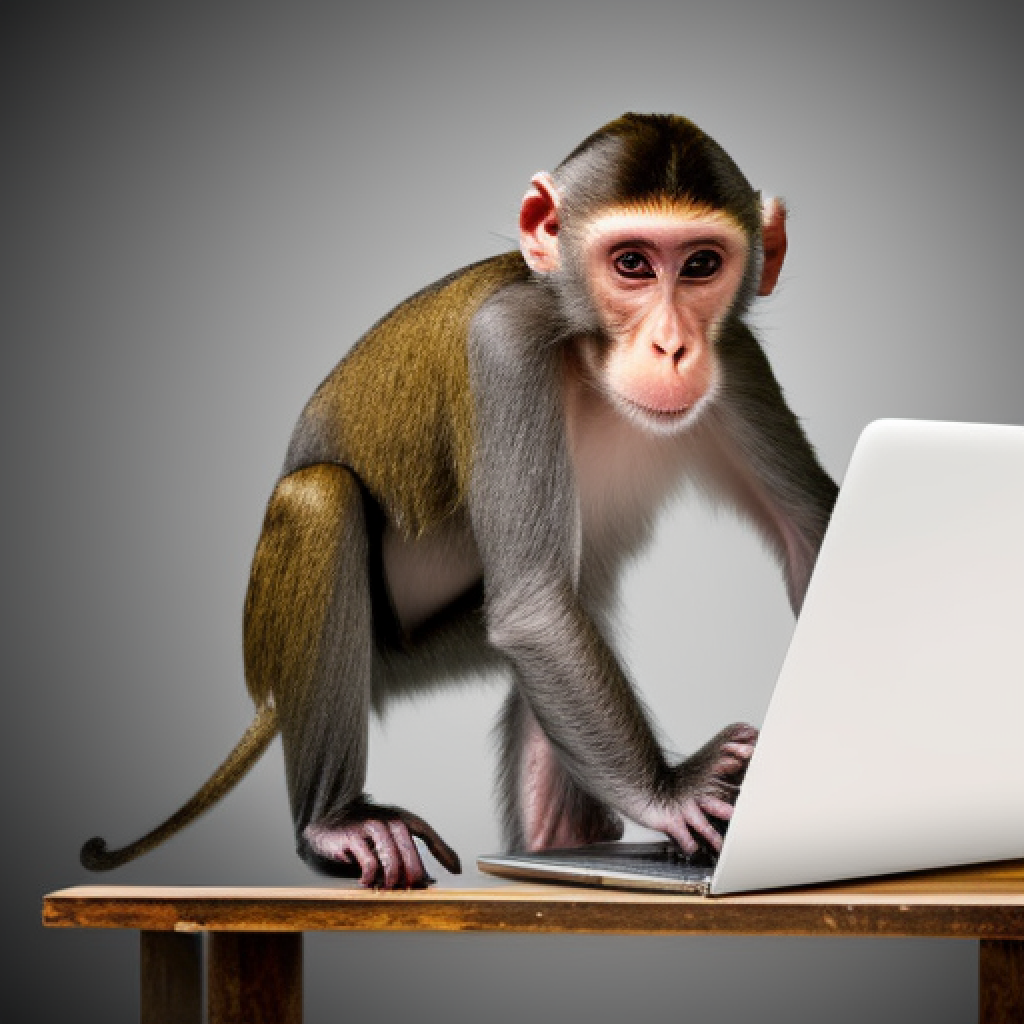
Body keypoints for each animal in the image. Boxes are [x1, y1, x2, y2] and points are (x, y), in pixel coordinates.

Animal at [82, 113, 837, 889]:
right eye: (632, 264)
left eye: (700, 266)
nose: (673, 346)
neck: (586, 345)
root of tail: (265, 686)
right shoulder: (507, 349)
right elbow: (535, 609)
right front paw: (674, 791)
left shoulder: (737, 356)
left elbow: (811, 536)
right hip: (368, 648)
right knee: (322, 497)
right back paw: (333, 823)